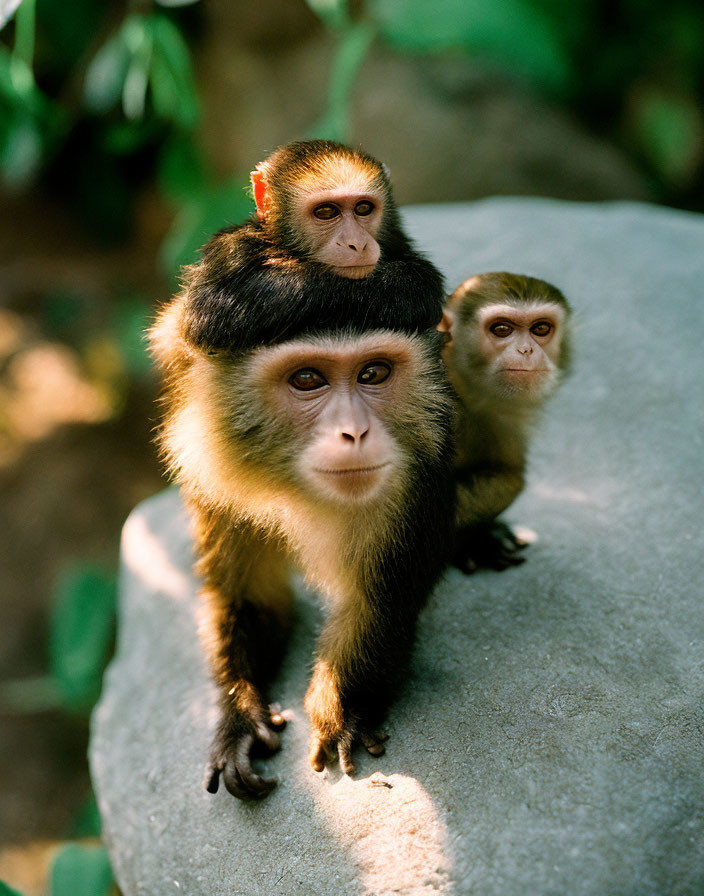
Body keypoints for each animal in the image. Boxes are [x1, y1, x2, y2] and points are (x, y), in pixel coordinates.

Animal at [149, 298, 456, 800]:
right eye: (307, 379)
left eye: (373, 373)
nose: (355, 432)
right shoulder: (211, 469)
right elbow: (252, 598)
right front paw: (239, 718)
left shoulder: (419, 474)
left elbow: (380, 602)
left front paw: (344, 707)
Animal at [182, 140, 446, 354]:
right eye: (326, 211)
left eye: (363, 208)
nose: (357, 243)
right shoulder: (231, 249)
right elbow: (212, 307)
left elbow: (422, 279)